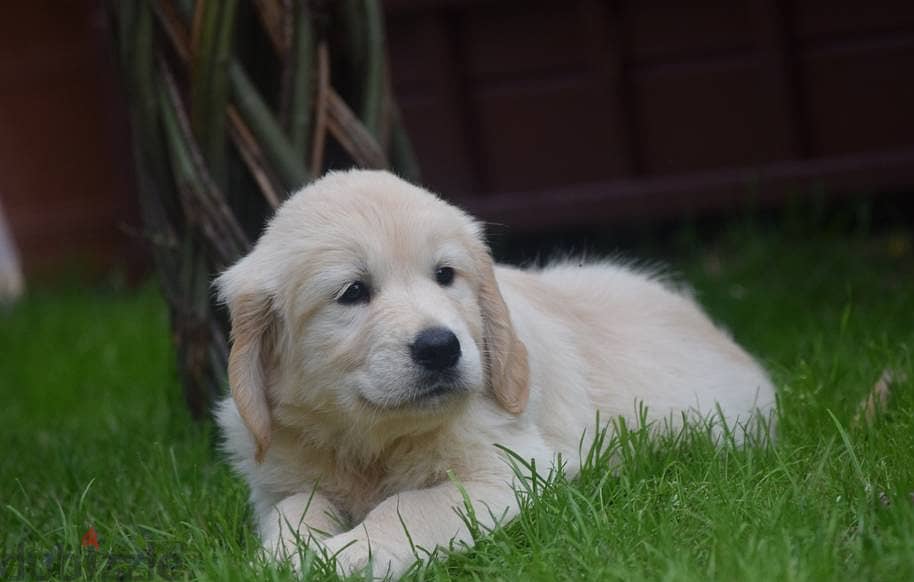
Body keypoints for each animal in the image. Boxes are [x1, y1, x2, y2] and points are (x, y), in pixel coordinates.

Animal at [212, 170, 768, 580]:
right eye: (352, 292)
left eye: (445, 275)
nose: (441, 348)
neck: (372, 445)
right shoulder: (277, 481)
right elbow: (295, 508)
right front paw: (282, 556)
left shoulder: (512, 469)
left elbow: (413, 507)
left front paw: (351, 554)